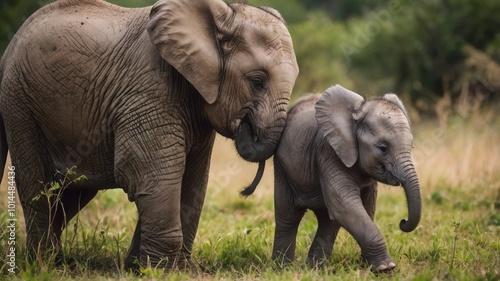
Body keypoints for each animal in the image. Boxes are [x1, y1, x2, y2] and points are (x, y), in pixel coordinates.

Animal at [0, 0, 296, 270]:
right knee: (38, 188)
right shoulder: (148, 90)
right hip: (20, 105)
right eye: (257, 82)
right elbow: (149, 173)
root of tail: (7, 50)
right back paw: (43, 265)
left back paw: (59, 262)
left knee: (71, 194)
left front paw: (157, 268)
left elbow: (193, 181)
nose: (244, 124)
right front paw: (159, 270)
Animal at [242, 84, 422, 270]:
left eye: (411, 146)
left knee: (327, 219)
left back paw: (316, 268)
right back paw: (283, 267)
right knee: (289, 215)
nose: (402, 221)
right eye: (383, 148)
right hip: (282, 166)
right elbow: (345, 204)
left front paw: (370, 265)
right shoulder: (329, 151)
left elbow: (364, 207)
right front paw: (386, 268)